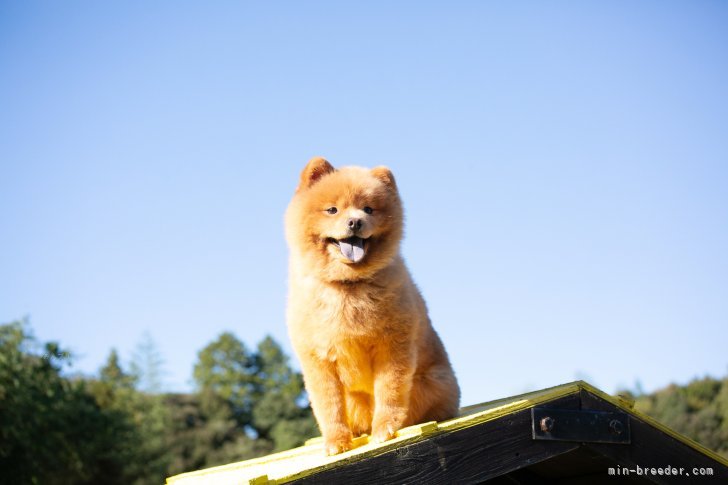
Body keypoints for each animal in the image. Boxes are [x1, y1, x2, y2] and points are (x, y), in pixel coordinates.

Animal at [286, 158, 460, 454]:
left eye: (368, 209)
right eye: (332, 210)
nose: (355, 221)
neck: (347, 285)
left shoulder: (392, 346)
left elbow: (389, 392)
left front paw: (383, 430)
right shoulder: (318, 361)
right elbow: (329, 406)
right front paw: (335, 442)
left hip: (432, 382)